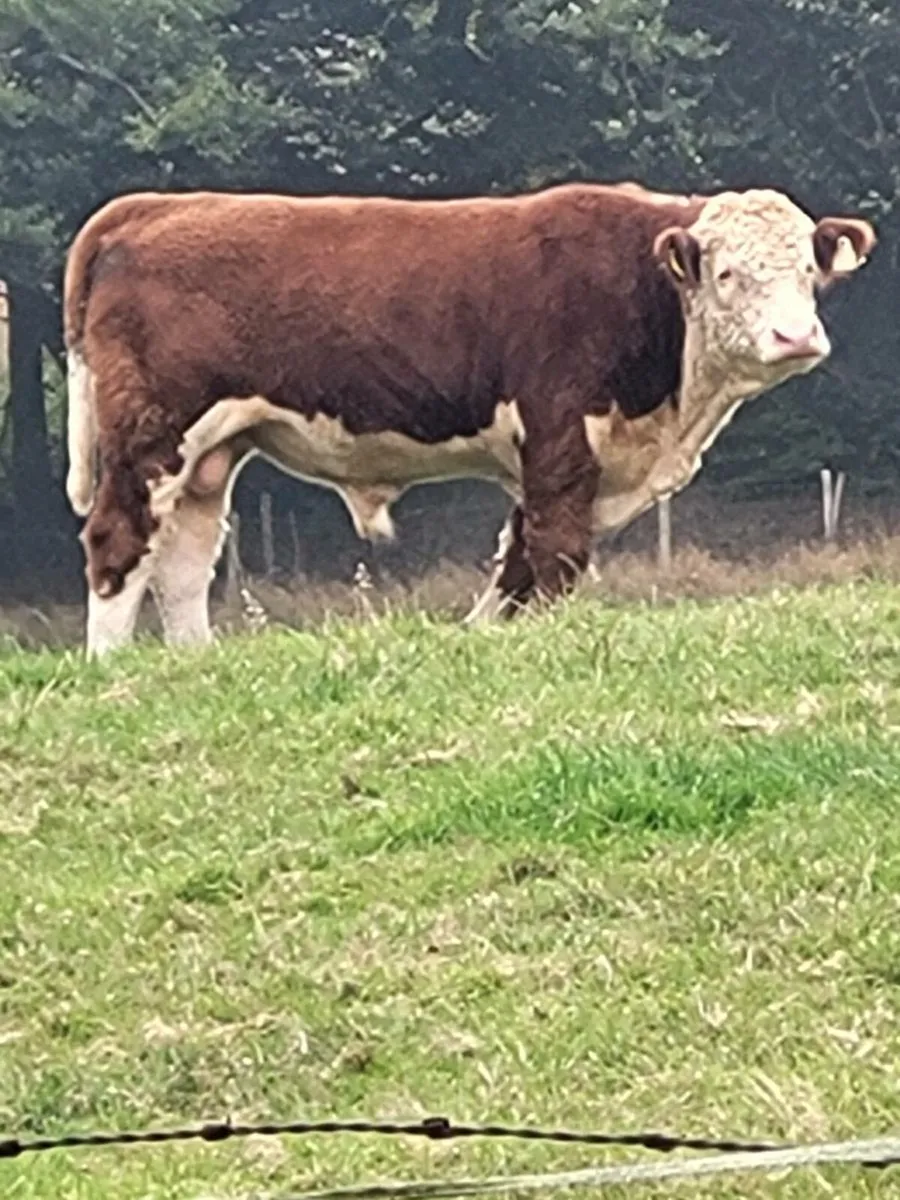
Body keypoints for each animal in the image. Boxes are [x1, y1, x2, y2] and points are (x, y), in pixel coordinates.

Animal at [63, 180, 876, 656]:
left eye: (809, 269)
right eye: (728, 272)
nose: (796, 337)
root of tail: (154, 204)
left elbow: (517, 558)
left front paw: (480, 635)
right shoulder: (559, 437)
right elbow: (554, 553)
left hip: (211, 453)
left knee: (183, 559)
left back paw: (193, 662)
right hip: (153, 434)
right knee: (119, 539)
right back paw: (111, 667)